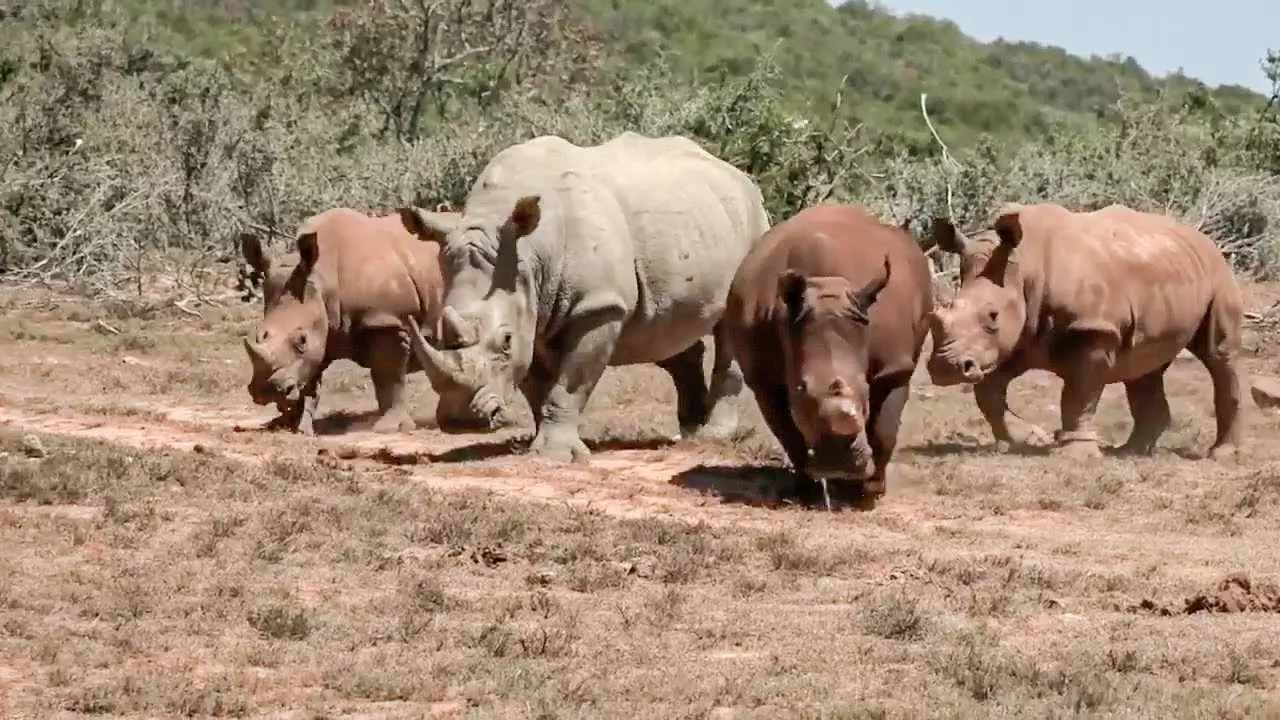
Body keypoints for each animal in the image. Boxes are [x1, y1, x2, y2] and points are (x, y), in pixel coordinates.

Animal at [239, 204, 481, 435]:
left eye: (302, 340)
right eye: (258, 335)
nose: (267, 391)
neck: (324, 277)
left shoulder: (386, 320)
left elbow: (388, 376)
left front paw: (391, 428)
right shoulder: (323, 327)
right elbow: (309, 380)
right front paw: (290, 426)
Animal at [394, 130, 768, 458]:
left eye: (506, 341)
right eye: (437, 335)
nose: (461, 421)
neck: (528, 253)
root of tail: (736, 173)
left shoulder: (598, 306)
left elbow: (570, 383)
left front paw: (555, 455)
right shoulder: (532, 306)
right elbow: (537, 385)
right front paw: (539, 442)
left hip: (753, 221)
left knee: (727, 326)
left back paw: (713, 436)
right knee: (667, 328)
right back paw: (690, 431)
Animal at [727, 202, 936, 504]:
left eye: (865, 387)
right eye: (801, 388)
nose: (839, 460)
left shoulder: (893, 368)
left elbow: (884, 430)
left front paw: (870, 492)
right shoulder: (762, 377)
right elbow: (788, 434)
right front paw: (806, 490)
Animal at [926, 199, 1244, 458]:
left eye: (992, 316)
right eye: (939, 314)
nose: (946, 367)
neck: (1023, 268)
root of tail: (1201, 238)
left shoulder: (1093, 330)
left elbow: (1078, 394)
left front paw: (1076, 454)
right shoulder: (1014, 340)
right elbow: (988, 394)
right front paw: (1026, 439)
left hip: (1218, 272)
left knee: (1219, 355)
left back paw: (1221, 454)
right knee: (1143, 365)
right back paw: (1131, 452)